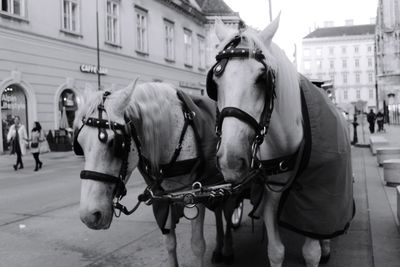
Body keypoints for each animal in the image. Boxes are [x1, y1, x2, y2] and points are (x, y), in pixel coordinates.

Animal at [75, 81, 244, 267]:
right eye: (79, 145)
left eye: (115, 143)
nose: (89, 216)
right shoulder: (163, 199)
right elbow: (169, 243)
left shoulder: (196, 194)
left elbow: (198, 245)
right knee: (219, 213)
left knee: (228, 213)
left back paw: (227, 249)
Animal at [206, 16, 354, 267]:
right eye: (215, 81)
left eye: (261, 78)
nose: (230, 160)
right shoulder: (271, 197)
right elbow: (276, 251)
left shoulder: (315, 201)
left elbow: (311, 251)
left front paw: (319, 249)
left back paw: (326, 244)